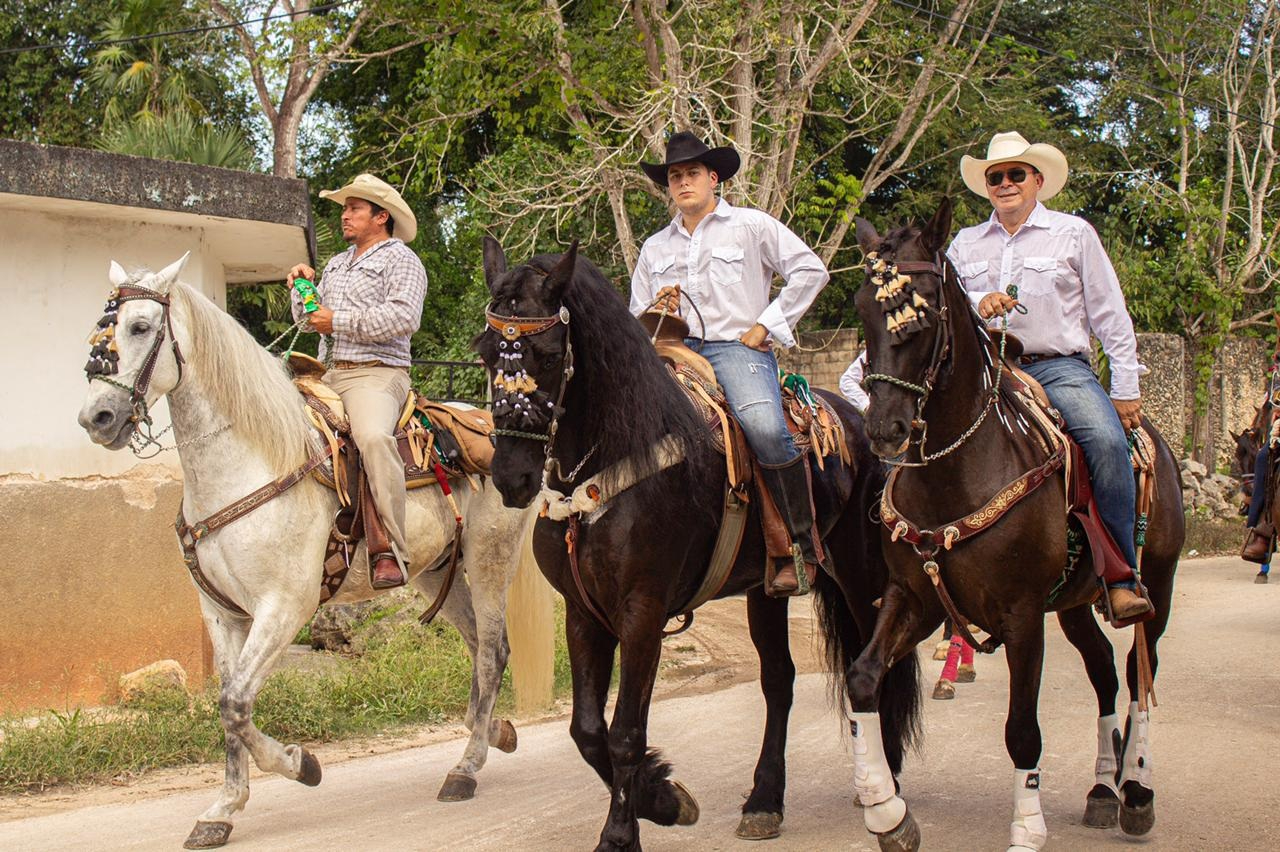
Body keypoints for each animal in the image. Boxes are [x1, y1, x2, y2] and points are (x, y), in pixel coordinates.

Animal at [74, 255, 545, 844]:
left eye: (139, 327)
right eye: (99, 328)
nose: (97, 418)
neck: (252, 462)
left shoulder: (284, 607)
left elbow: (235, 704)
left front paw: (303, 765)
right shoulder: (222, 614)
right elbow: (230, 706)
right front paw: (223, 809)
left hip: (487, 562)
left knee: (490, 652)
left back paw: (466, 767)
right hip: (438, 571)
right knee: (485, 647)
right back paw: (494, 732)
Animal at [473, 236, 921, 849]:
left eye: (544, 353)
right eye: (486, 354)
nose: (512, 476)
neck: (611, 461)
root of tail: (857, 418)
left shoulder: (642, 613)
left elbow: (625, 733)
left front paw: (622, 832)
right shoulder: (583, 614)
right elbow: (586, 730)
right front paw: (664, 799)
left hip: (856, 573)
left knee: (875, 662)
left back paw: (888, 782)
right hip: (766, 588)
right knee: (779, 680)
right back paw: (765, 800)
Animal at [844, 200, 1182, 849]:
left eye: (924, 311)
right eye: (863, 310)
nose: (884, 429)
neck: (957, 471)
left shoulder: (1023, 615)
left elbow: (1022, 727)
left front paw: (1027, 827)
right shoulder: (914, 598)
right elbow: (864, 678)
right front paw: (886, 811)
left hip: (1158, 584)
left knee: (1141, 677)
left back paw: (1137, 788)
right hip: (1074, 603)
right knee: (1105, 673)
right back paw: (1103, 788)